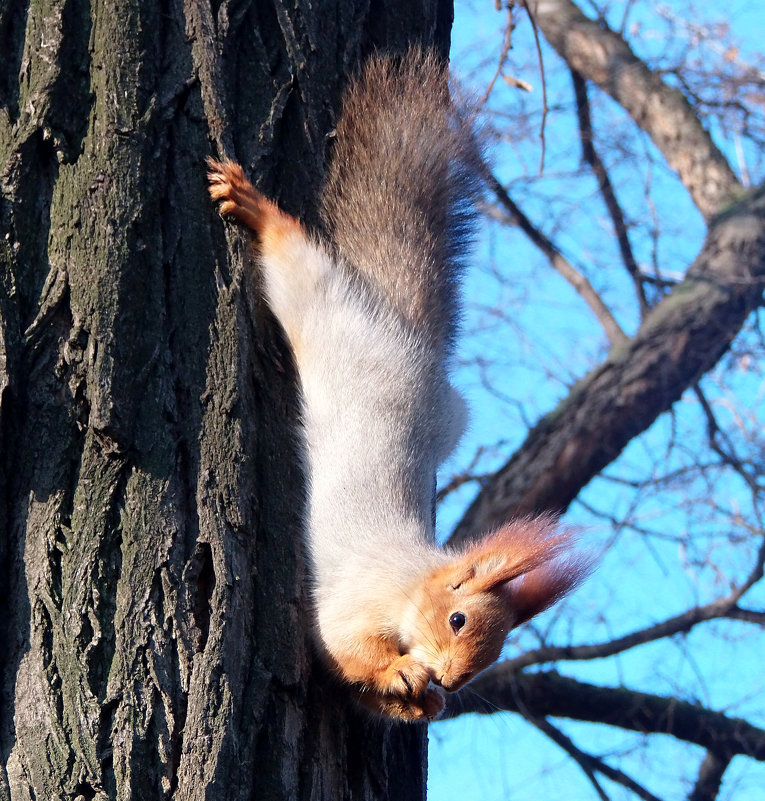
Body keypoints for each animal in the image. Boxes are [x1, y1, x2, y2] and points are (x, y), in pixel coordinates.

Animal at [207, 51, 584, 724]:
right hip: (328, 322)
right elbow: (342, 649)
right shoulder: (359, 600)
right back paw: (258, 209)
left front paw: (420, 700)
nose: (454, 681)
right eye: (458, 619)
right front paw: (401, 673)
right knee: (301, 267)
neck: (412, 579)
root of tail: (408, 350)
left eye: (494, 651)